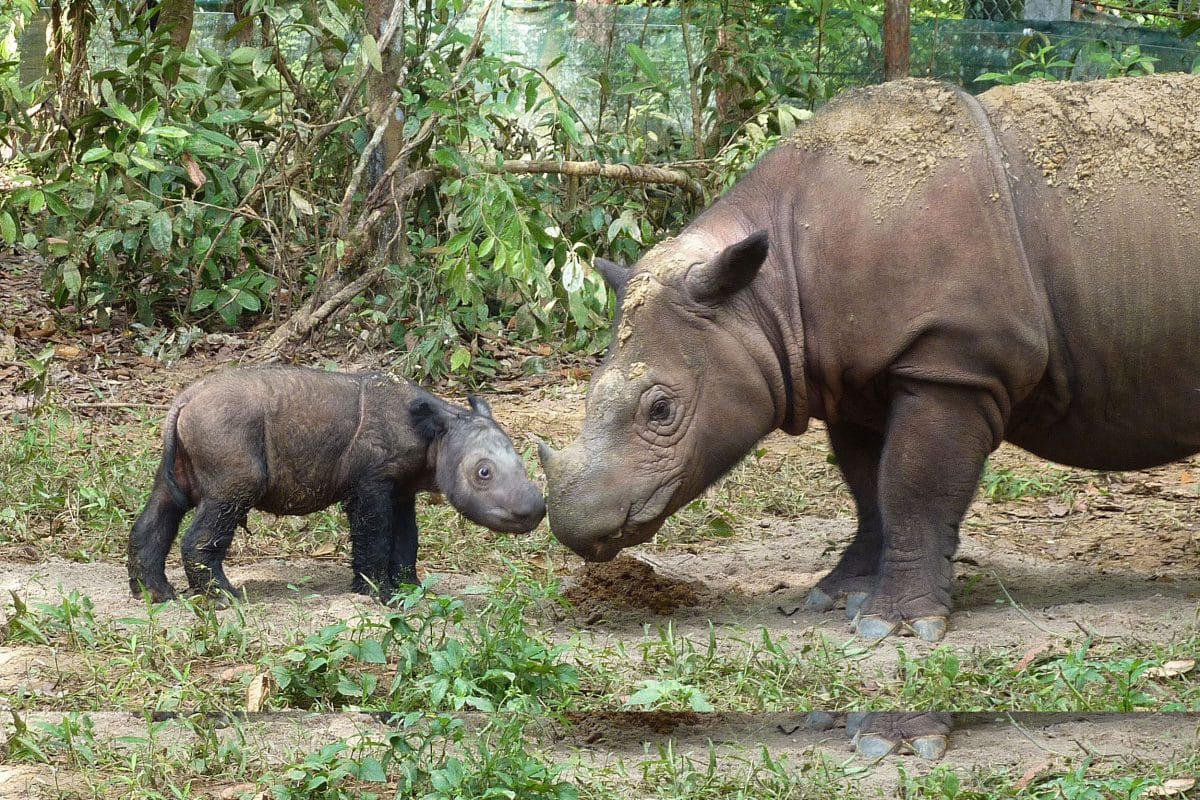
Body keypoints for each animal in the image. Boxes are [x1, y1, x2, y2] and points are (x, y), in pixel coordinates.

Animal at [128, 366, 545, 602]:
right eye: (483, 473)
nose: (535, 510)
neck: (437, 434)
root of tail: (183, 400)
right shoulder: (370, 482)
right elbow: (374, 535)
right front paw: (380, 596)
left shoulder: (401, 488)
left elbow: (406, 539)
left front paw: (411, 590)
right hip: (224, 430)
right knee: (228, 498)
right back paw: (225, 598)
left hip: (191, 437)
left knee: (164, 503)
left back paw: (155, 596)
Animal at [539, 74, 1200, 646]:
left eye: (661, 410)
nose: (573, 527)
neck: (765, 294)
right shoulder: (850, 375)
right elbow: (868, 487)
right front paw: (838, 595)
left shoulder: (953, 362)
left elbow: (913, 484)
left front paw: (896, 625)